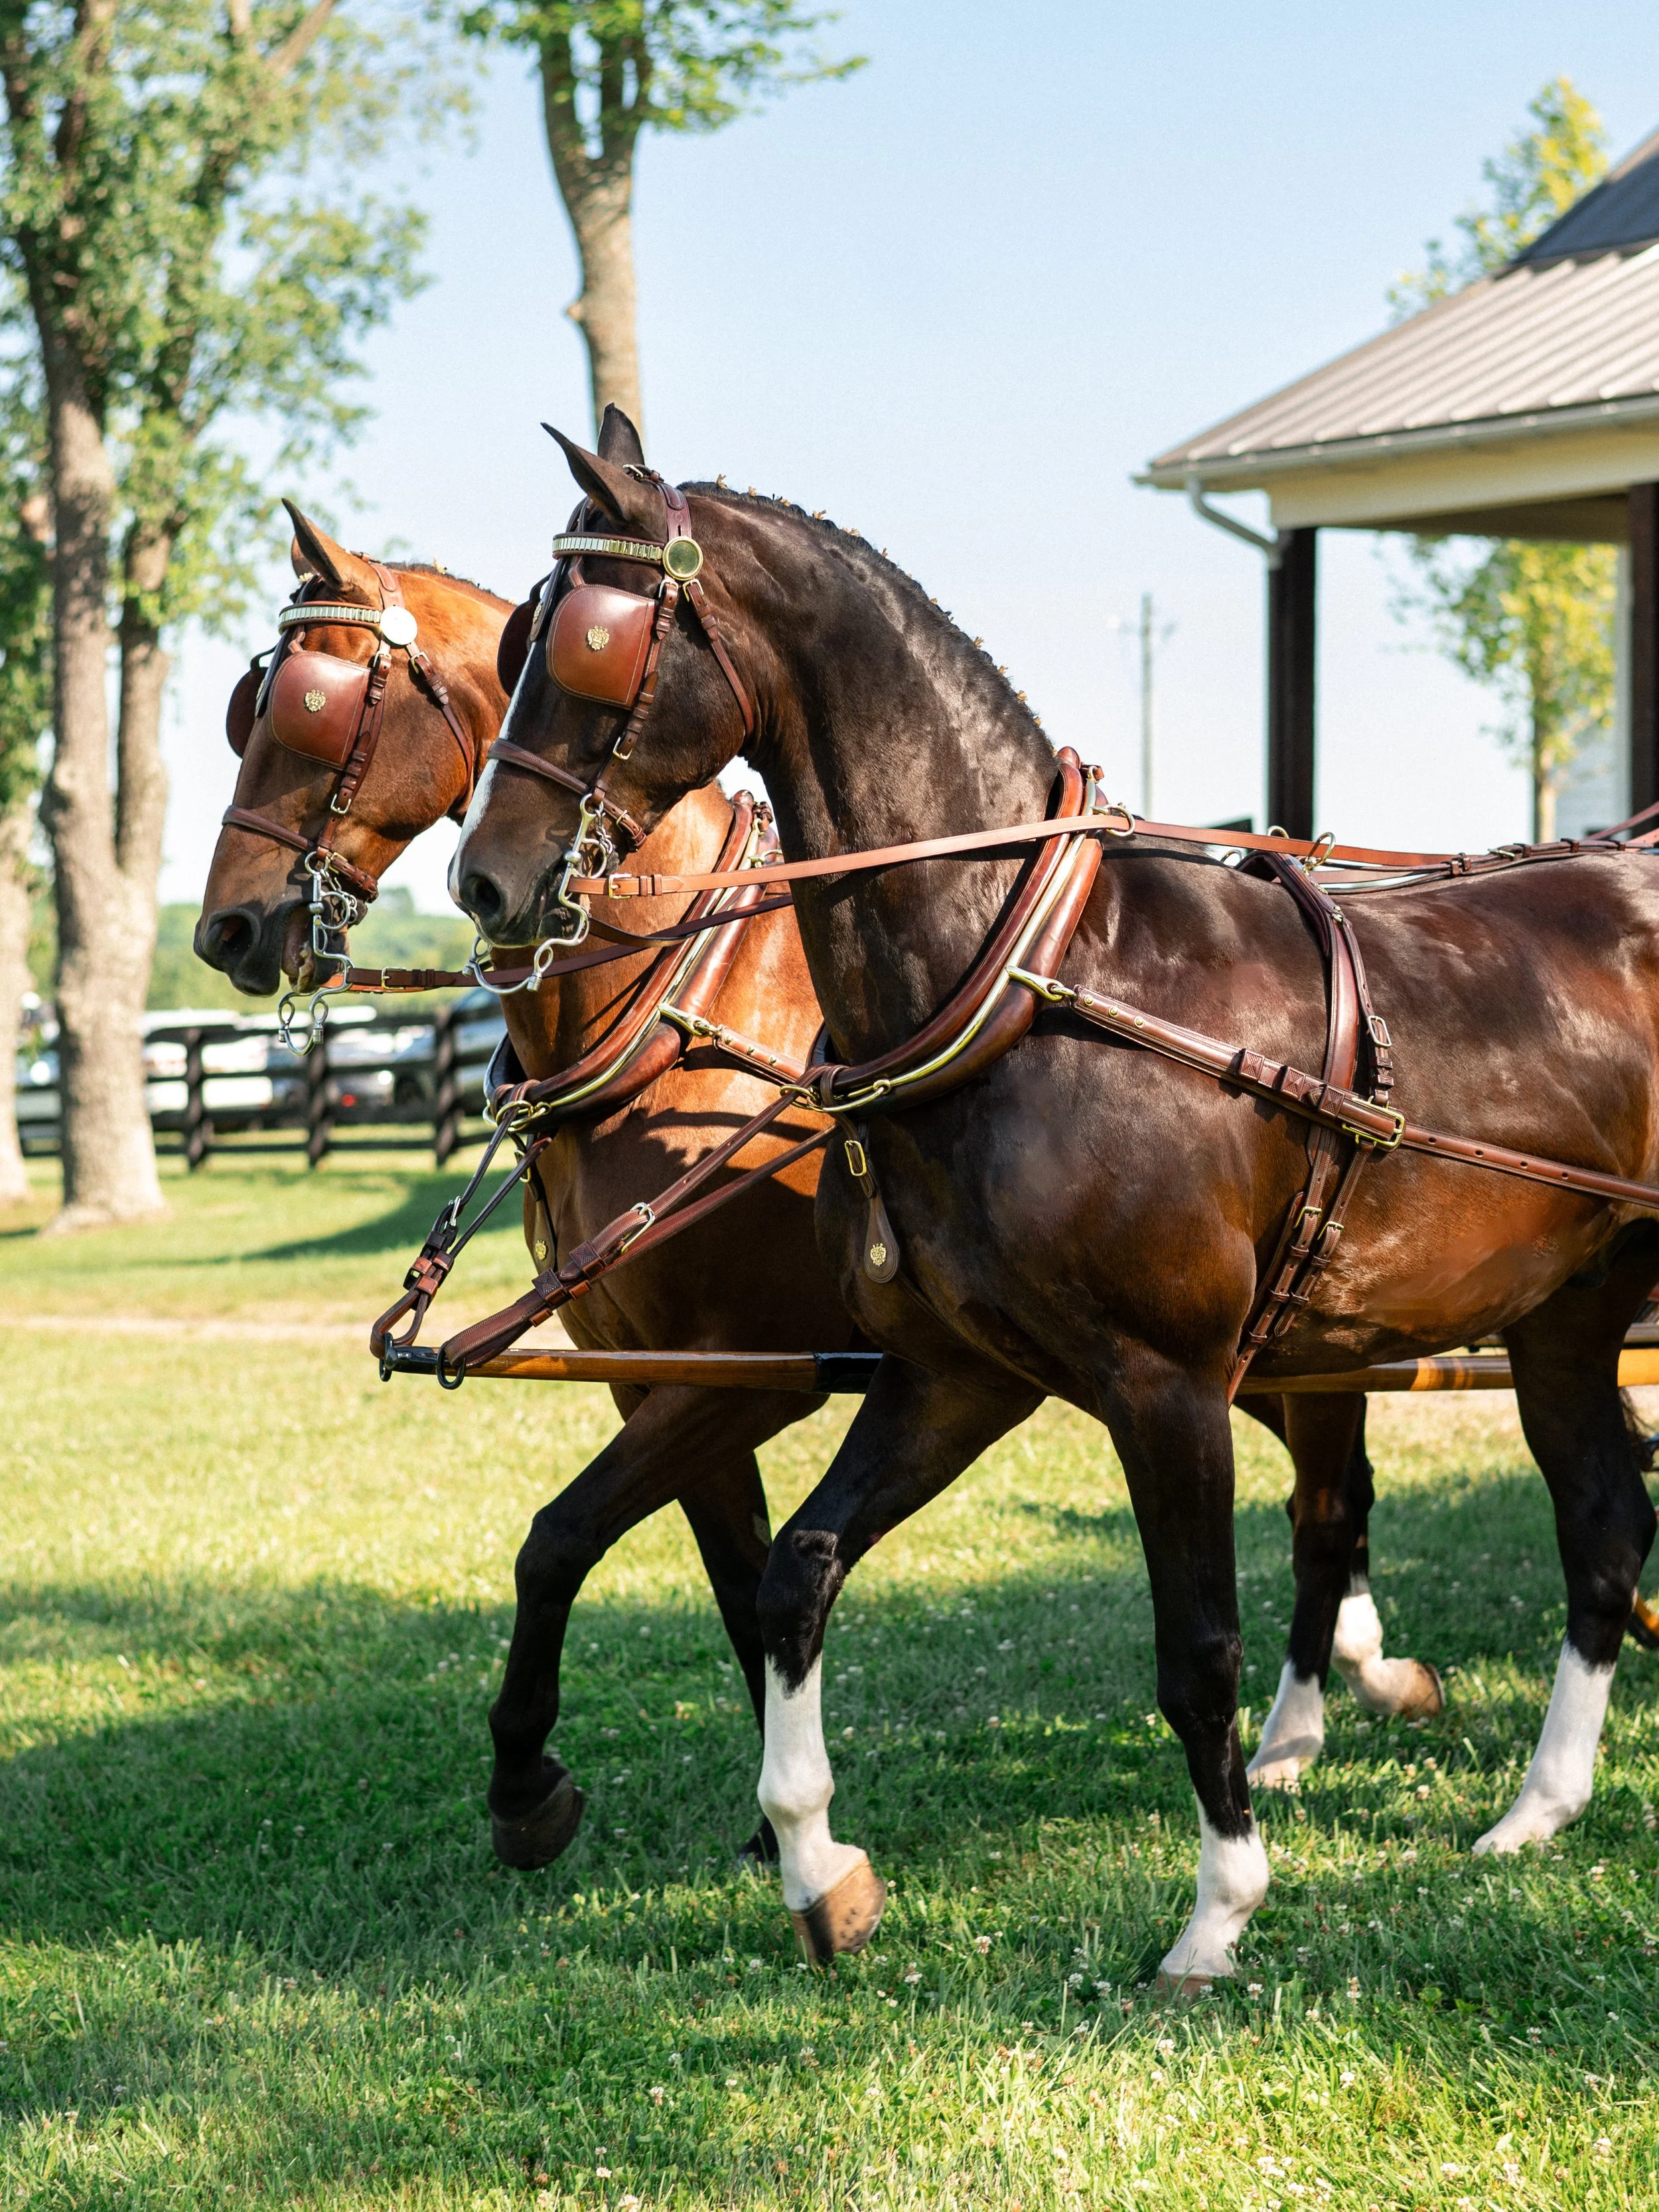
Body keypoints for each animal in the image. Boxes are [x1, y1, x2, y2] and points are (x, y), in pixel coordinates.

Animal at [450, 426, 1659, 1984]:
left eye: (594, 639)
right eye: (518, 640)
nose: (485, 879)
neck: (1038, 981)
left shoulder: (1167, 1381)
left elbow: (1195, 1647)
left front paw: (1218, 1910)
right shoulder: (957, 1373)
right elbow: (794, 1573)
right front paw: (816, 1861)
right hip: (1563, 1316)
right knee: (1601, 1527)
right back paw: (1536, 1808)